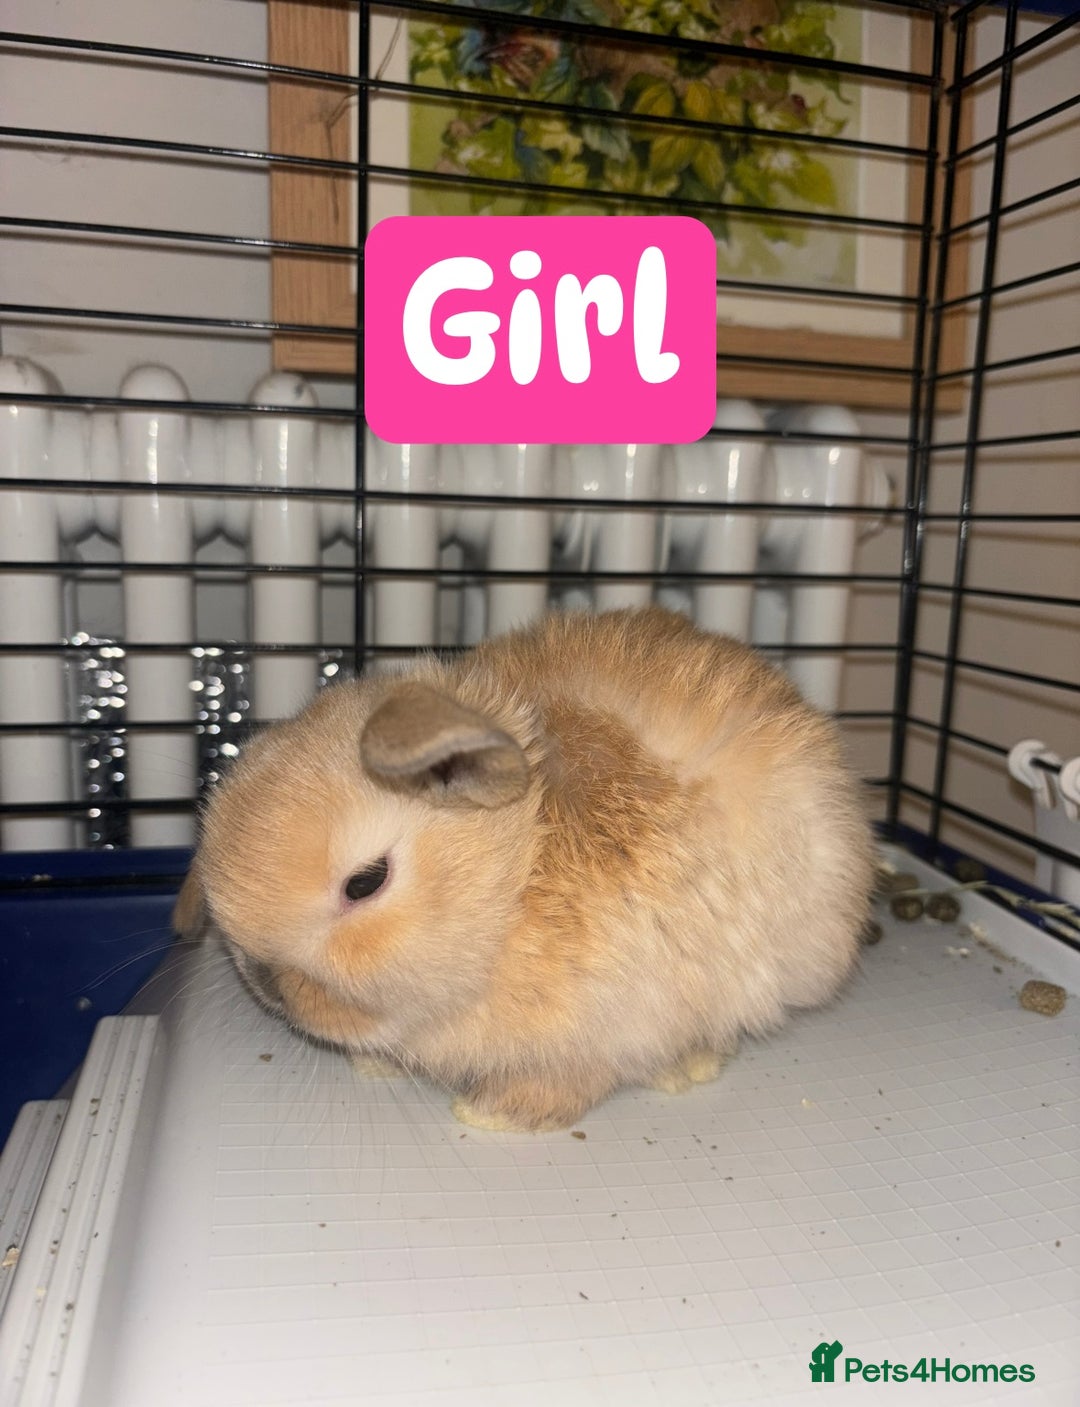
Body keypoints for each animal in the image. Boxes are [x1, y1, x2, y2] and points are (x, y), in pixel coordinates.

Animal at [175, 607, 875, 1132]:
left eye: (366, 882)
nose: (266, 983)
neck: (517, 875)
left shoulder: (610, 1028)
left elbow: (570, 1082)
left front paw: (495, 1115)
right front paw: (380, 1067)